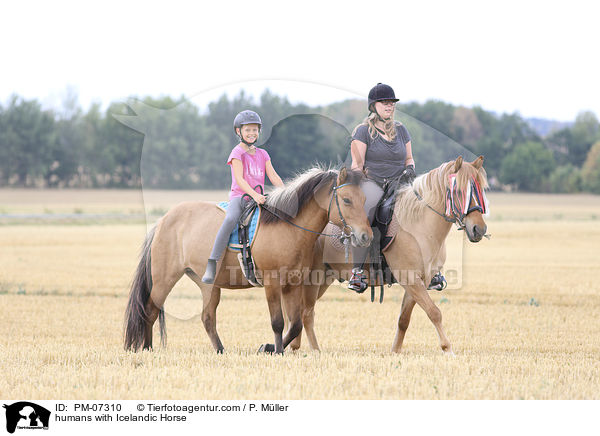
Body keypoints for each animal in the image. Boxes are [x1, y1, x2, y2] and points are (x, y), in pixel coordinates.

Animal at [124, 167, 372, 354]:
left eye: (364, 199)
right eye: (347, 200)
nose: (365, 236)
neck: (287, 226)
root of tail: (163, 221)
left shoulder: (292, 284)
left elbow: (295, 324)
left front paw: (270, 348)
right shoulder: (272, 283)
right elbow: (278, 322)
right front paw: (276, 350)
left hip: (207, 285)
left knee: (207, 318)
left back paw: (220, 350)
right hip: (164, 279)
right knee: (150, 310)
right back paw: (146, 349)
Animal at [288, 157, 490, 354]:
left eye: (480, 190)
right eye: (458, 191)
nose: (478, 229)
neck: (419, 225)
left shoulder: (419, 281)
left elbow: (404, 319)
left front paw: (395, 351)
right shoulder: (410, 279)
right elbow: (434, 312)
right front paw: (447, 349)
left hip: (325, 278)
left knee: (302, 311)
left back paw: (295, 346)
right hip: (313, 278)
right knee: (306, 313)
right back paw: (311, 350)